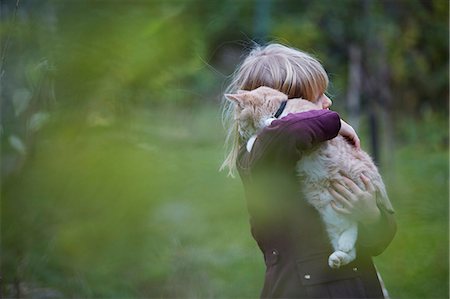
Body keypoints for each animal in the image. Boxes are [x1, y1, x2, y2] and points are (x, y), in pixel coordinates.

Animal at [225, 86, 394, 270]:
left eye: (239, 121)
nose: (241, 133)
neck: (281, 109)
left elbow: (270, 127)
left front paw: (258, 134)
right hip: (332, 216)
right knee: (351, 236)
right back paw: (339, 256)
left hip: (358, 184)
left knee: (357, 218)